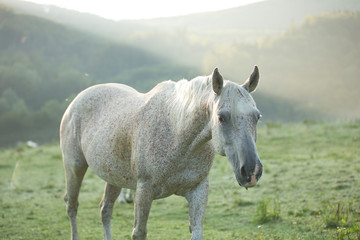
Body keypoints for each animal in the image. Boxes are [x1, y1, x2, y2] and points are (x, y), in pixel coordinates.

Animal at [60, 66, 262, 240]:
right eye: (221, 117)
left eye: (257, 116)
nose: (251, 172)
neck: (177, 135)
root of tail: (76, 100)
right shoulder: (144, 191)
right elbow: (139, 233)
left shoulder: (198, 190)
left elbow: (197, 232)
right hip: (74, 168)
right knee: (72, 206)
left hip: (114, 177)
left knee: (105, 210)